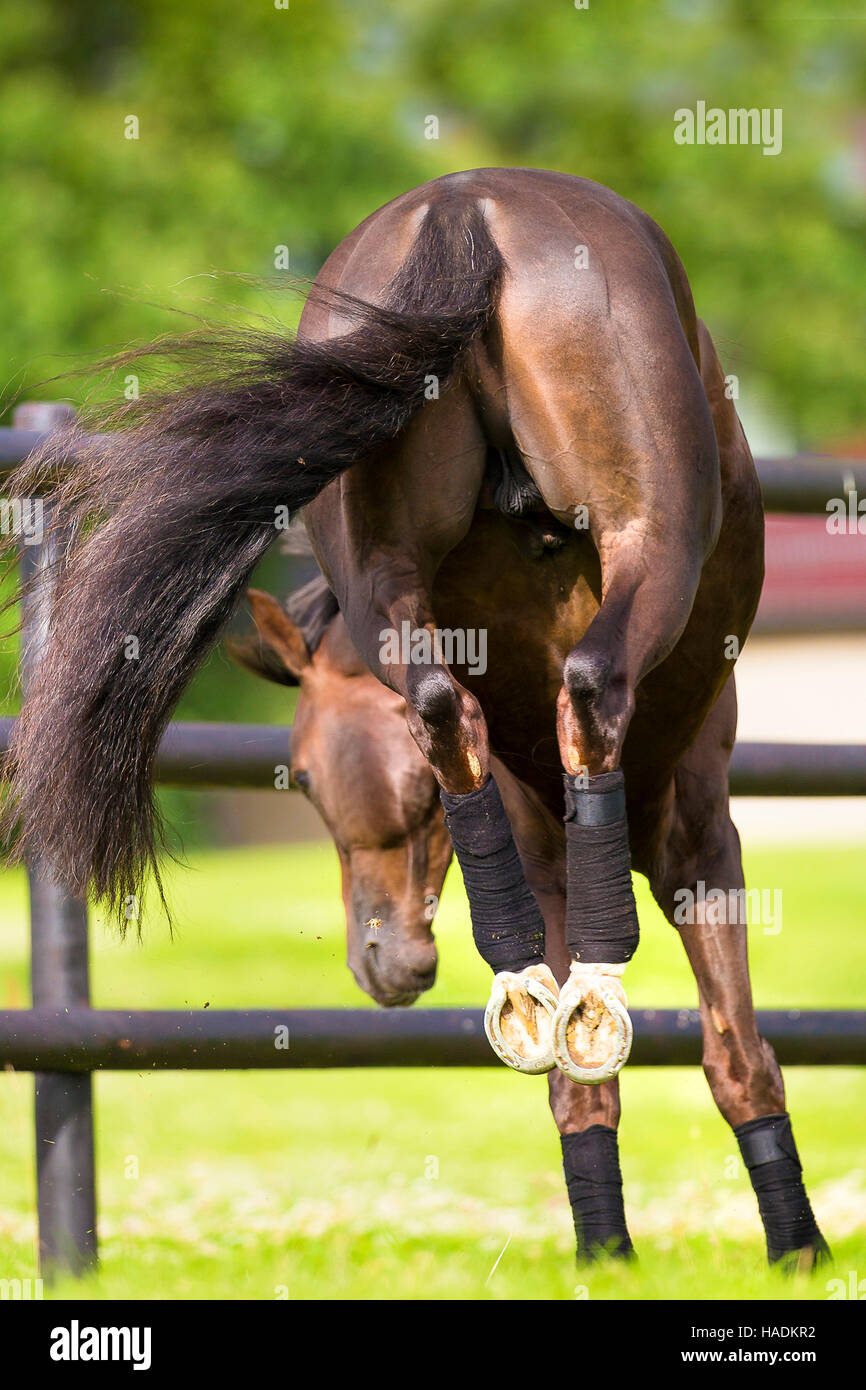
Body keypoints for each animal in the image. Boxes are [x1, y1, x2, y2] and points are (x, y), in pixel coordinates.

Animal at [3, 165, 828, 1273]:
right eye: (304, 779)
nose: (380, 964)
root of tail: (466, 208)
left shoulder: (599, 835)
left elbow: (611, 1080)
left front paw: (607, 1254)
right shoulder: (698, 830)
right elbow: (734, 1051)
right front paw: (793, 1251)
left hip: (383, 574)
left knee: (446, 704)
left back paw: (521, 980)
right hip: (644, 548)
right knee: (588, 687)